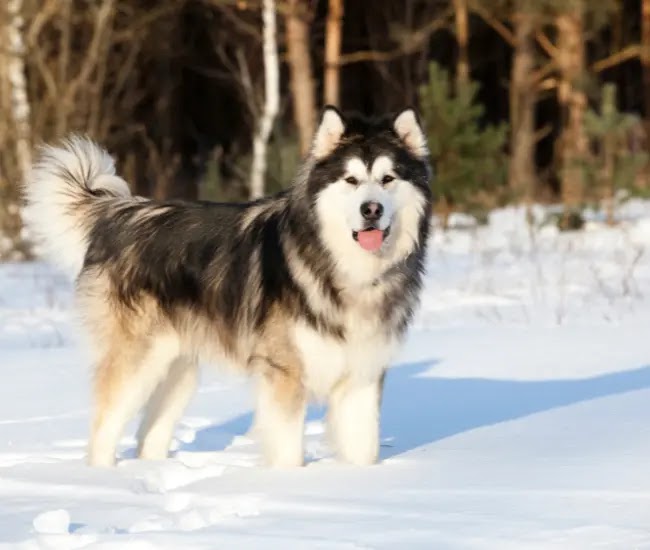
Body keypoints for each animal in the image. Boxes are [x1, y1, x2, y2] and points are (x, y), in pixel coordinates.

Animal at [24, 109, 430, 470]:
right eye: (351, 180)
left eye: (388, 179)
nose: (371, 209)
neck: (345, 267)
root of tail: (120, 213)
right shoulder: (283, 373)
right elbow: (288, 452)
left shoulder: (363, 375)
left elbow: (364, 449)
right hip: (137, 362)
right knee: (104, 431)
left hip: (179, 370)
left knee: (148, 436)